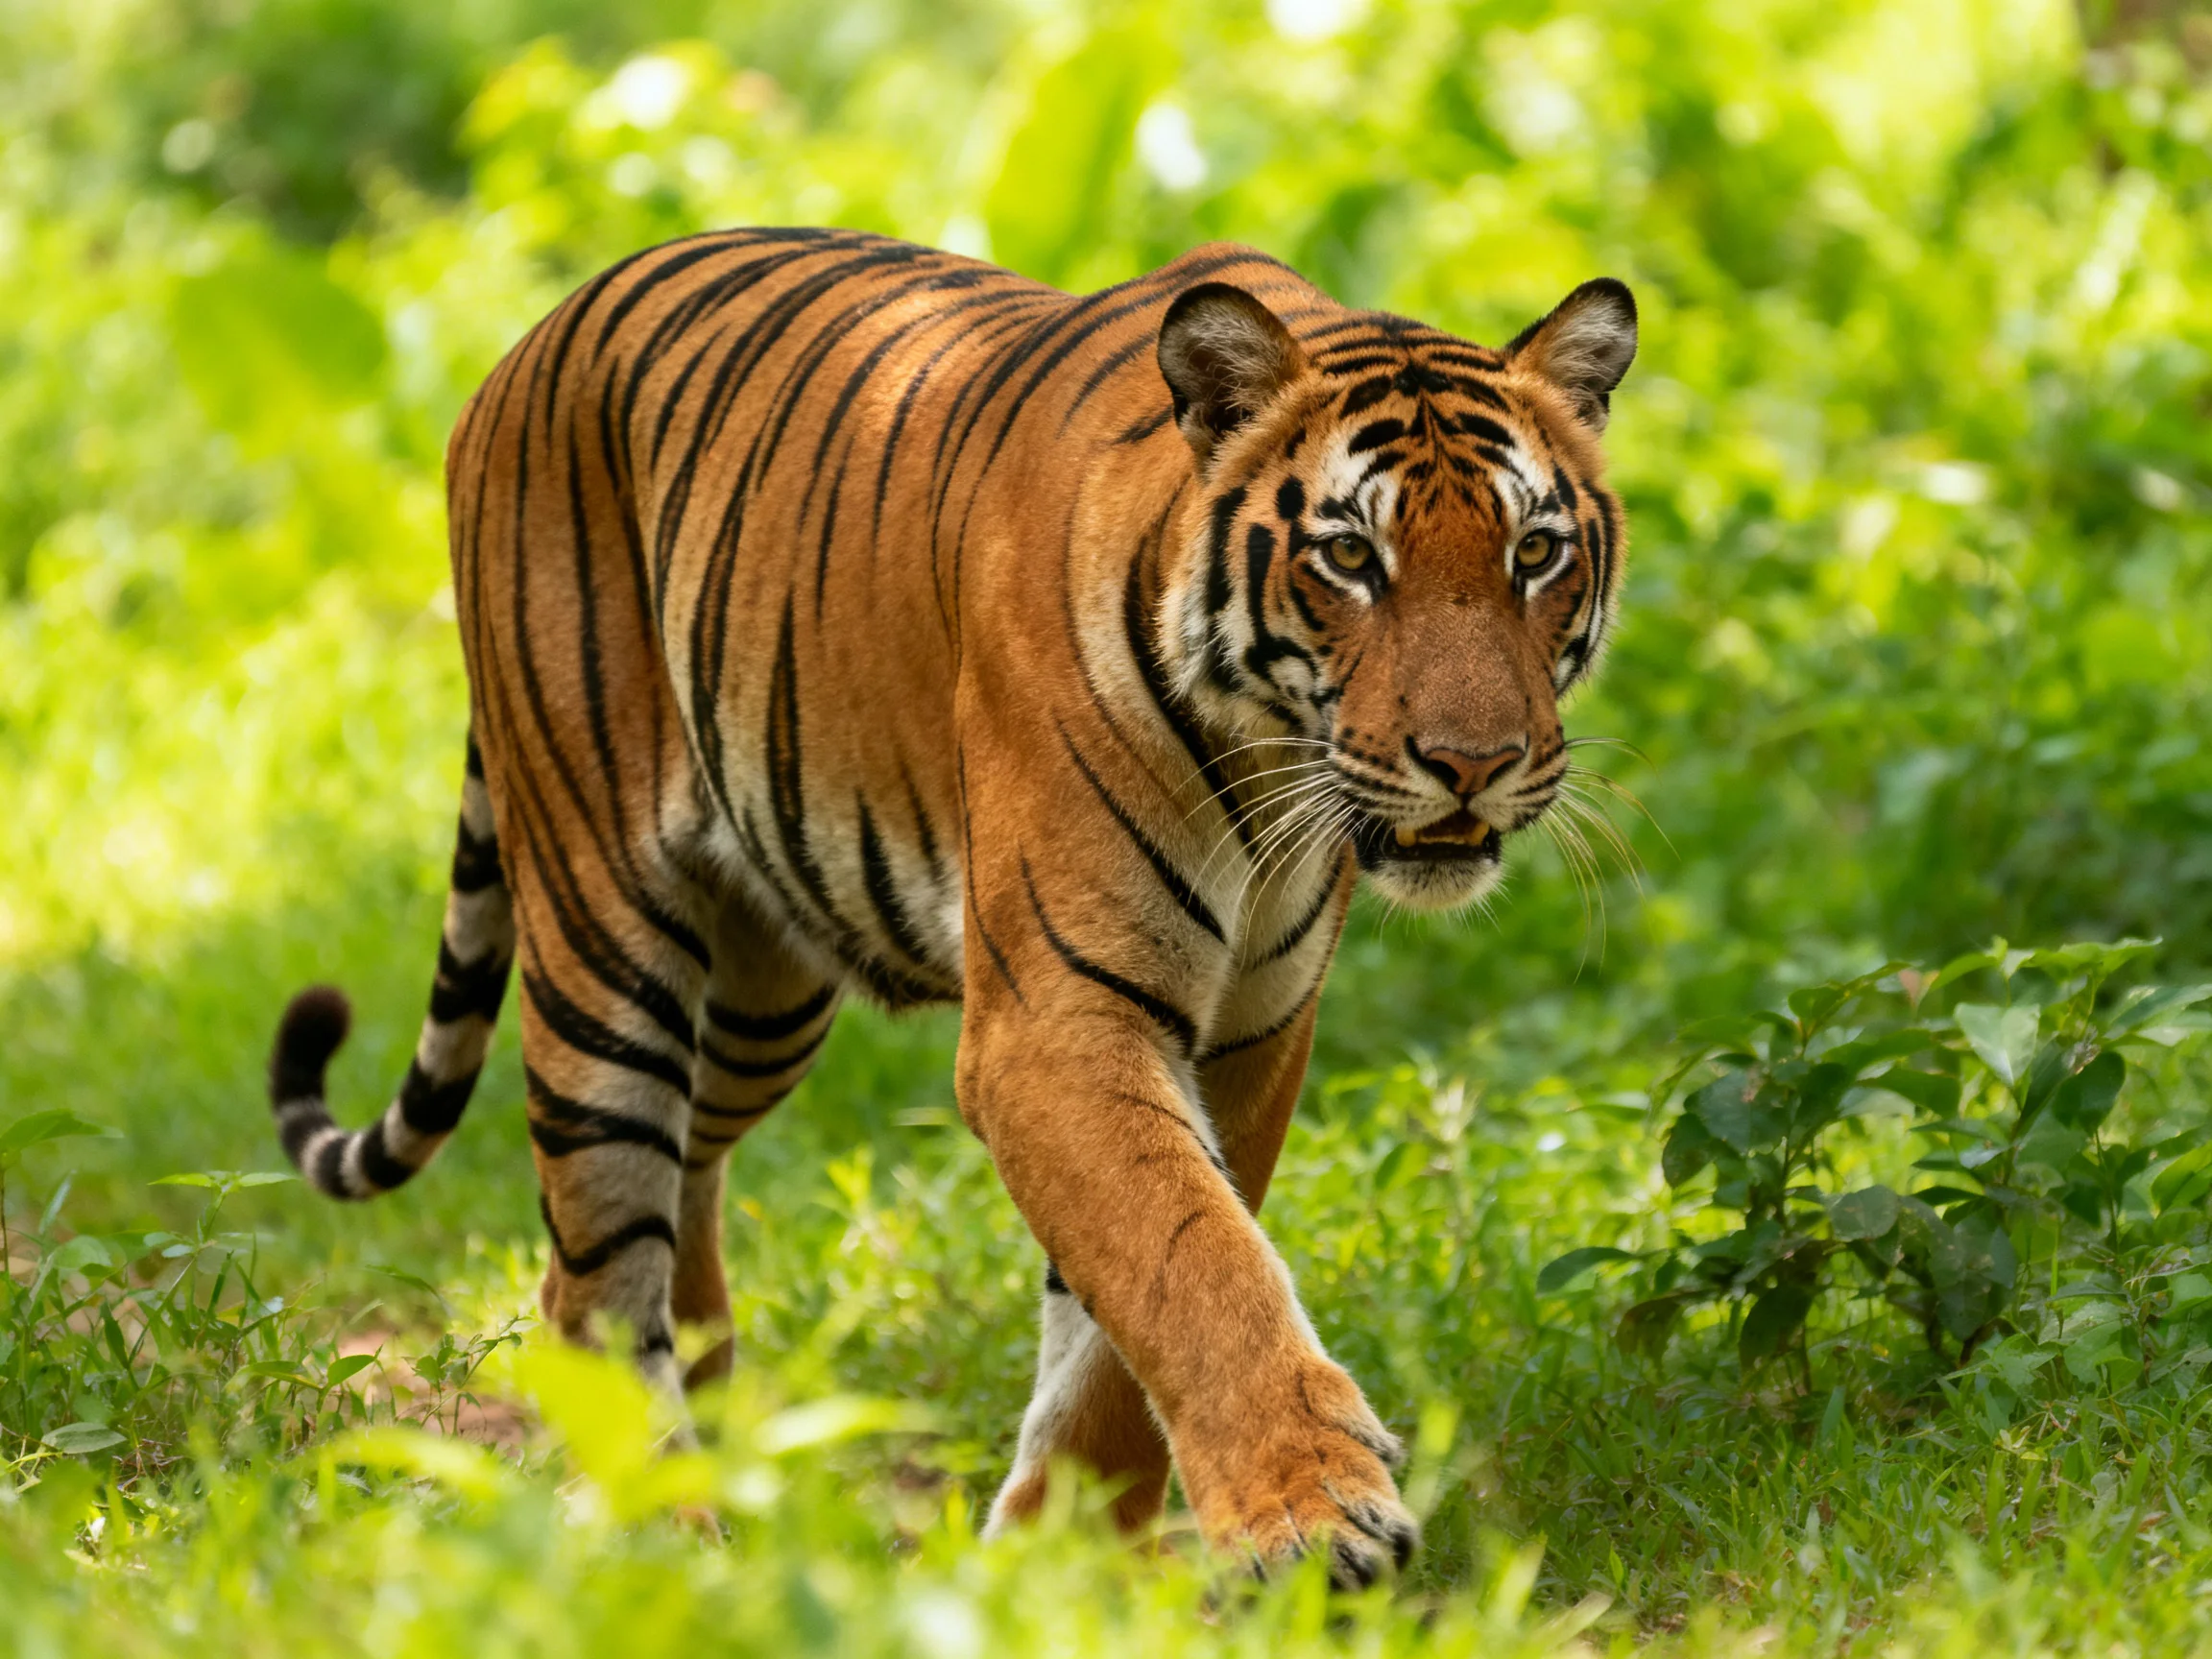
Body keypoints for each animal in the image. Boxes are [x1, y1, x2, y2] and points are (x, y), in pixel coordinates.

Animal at [266, 227, 1635, 1586]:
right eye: (1352, 556)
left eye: (1534, 554)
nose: (1474, 763)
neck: (1263, 761)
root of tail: (530, 340)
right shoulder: (1056, 1027)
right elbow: (1192, 1263)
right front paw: (1312, 1514)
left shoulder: (1248, 1035)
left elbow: (1128, 1316)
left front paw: (1056, 1564)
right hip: (606, 945)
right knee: (599, 1261)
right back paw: (663, 1534)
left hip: (763, 993)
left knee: (672, 1189)